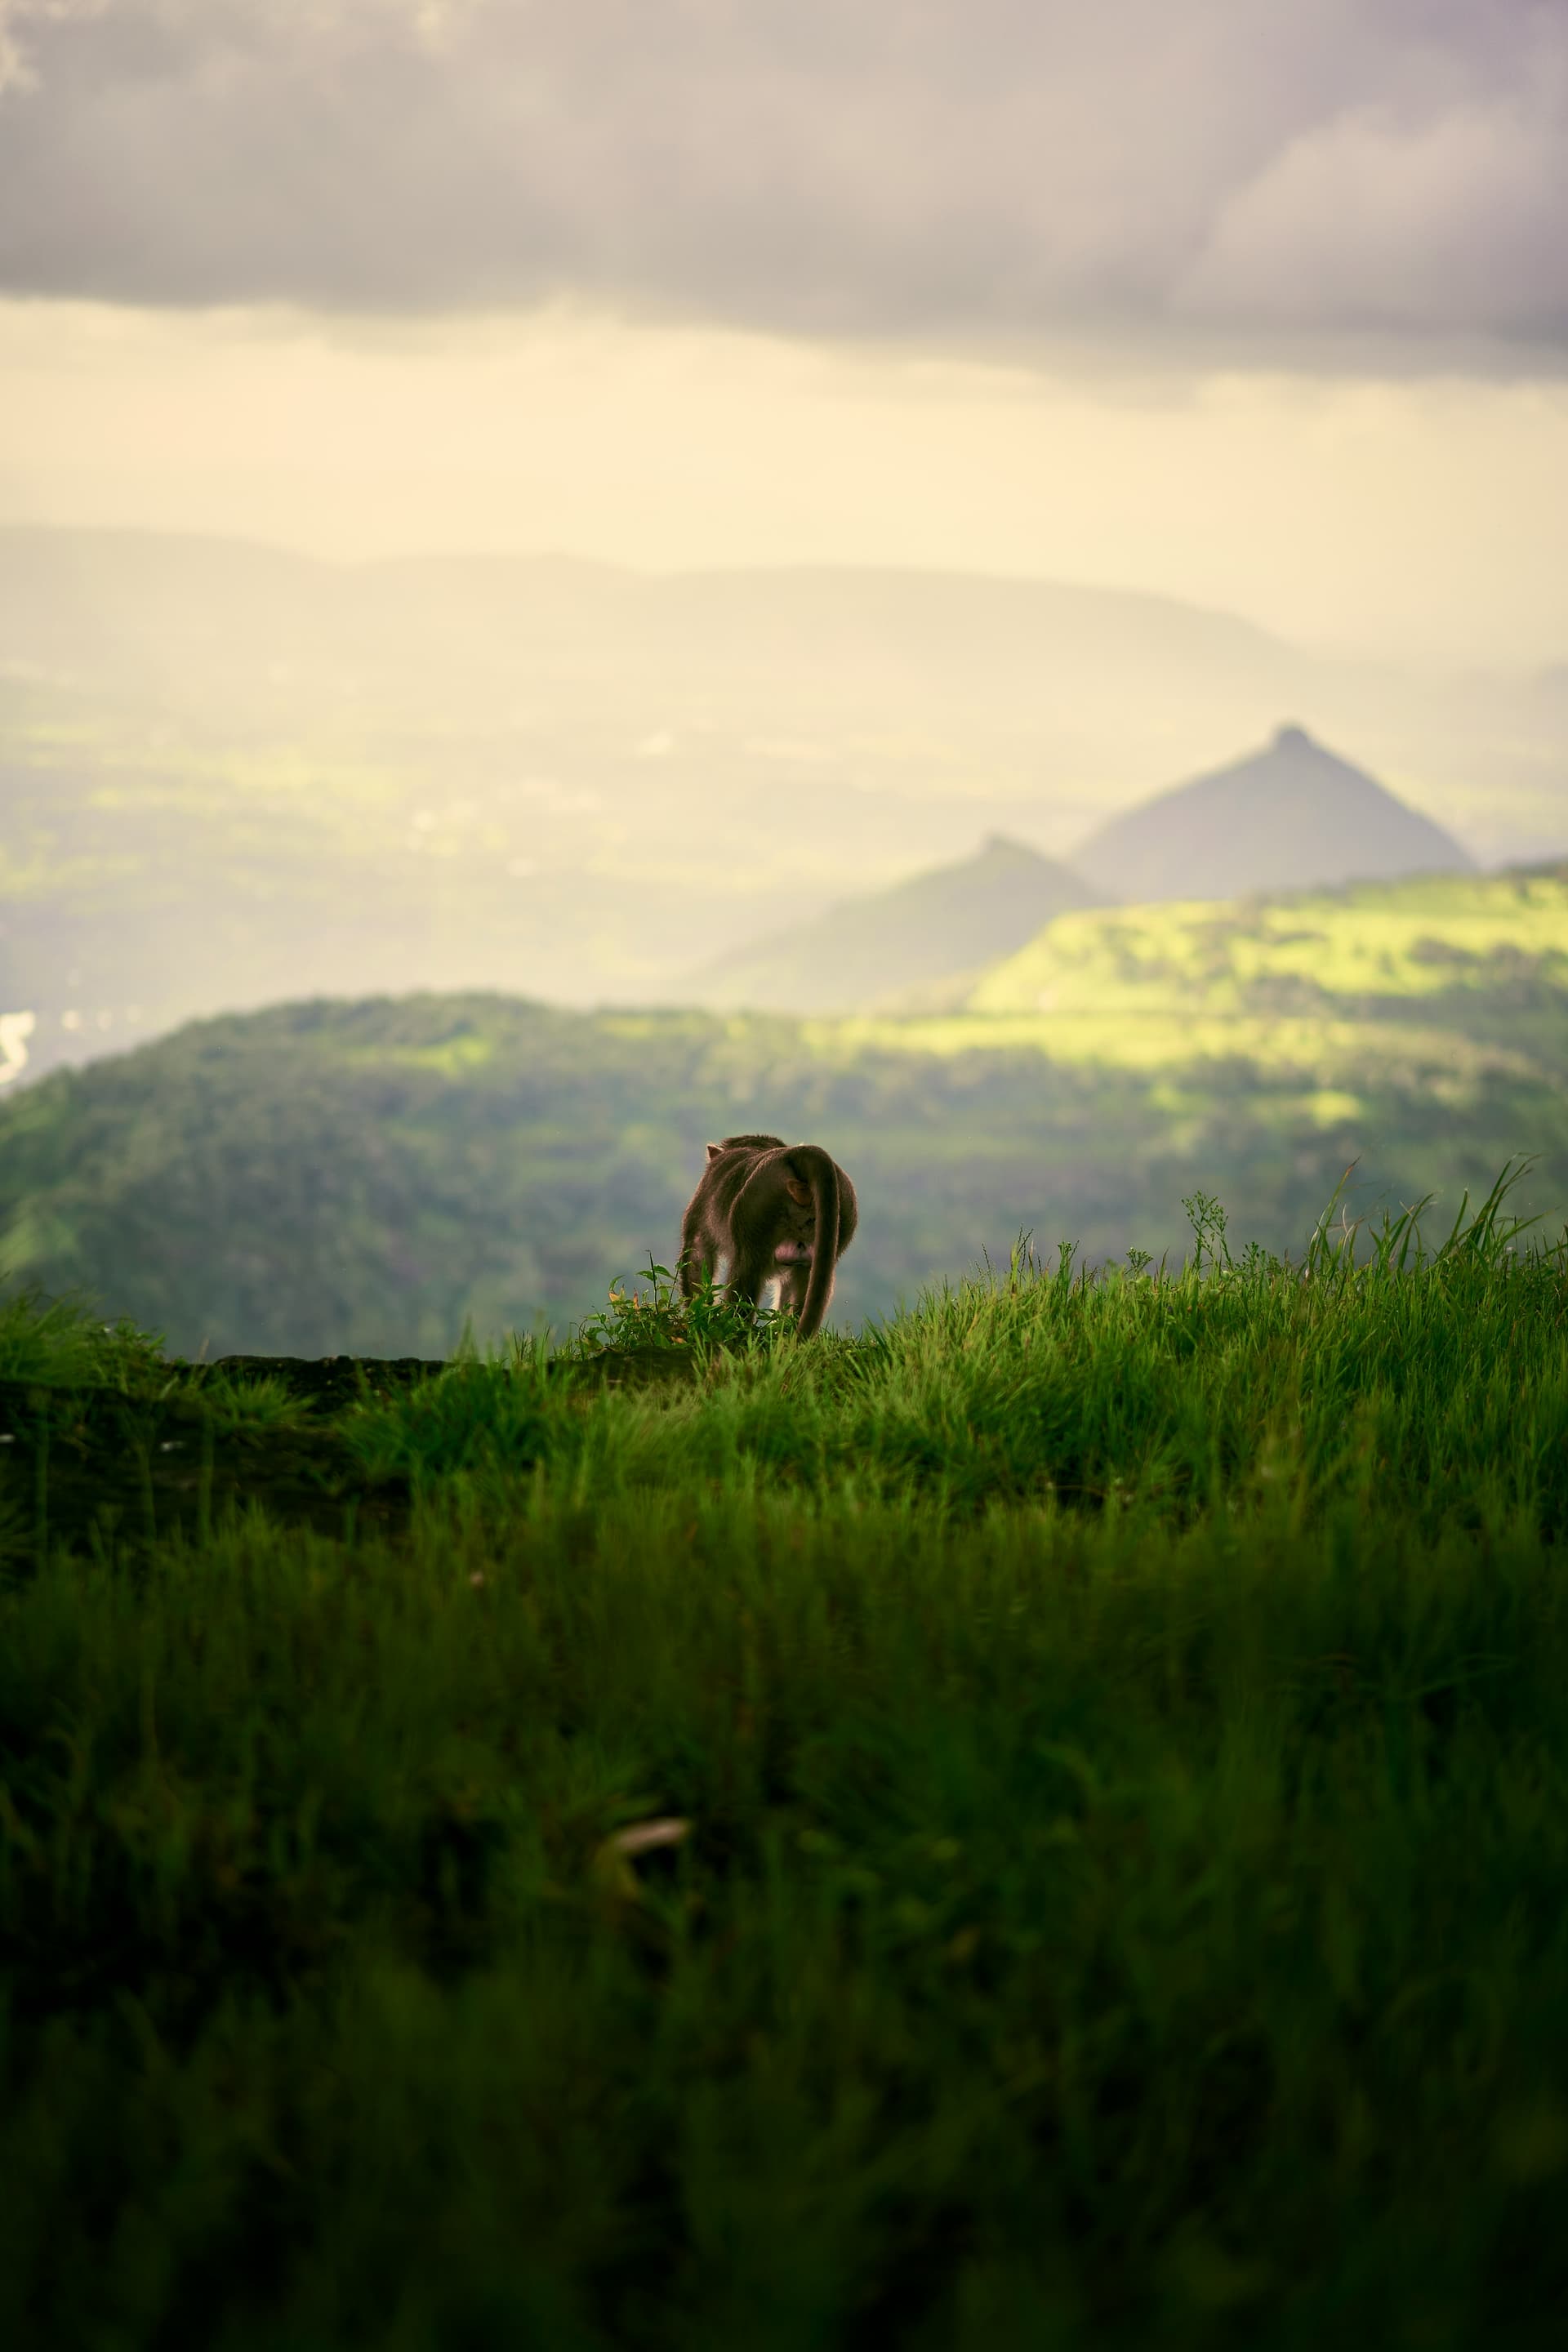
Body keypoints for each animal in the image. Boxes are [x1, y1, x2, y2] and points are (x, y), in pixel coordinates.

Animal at [679, 1133, 858, 1339]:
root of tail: (794, 1153)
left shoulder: (704, 1196)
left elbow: (697, 1251)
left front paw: (699, 1317)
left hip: (757, 1202)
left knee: (747, 1267)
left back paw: (734, 1328)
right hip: (844, 1206)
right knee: (807, 1274)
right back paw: (787, 1330)